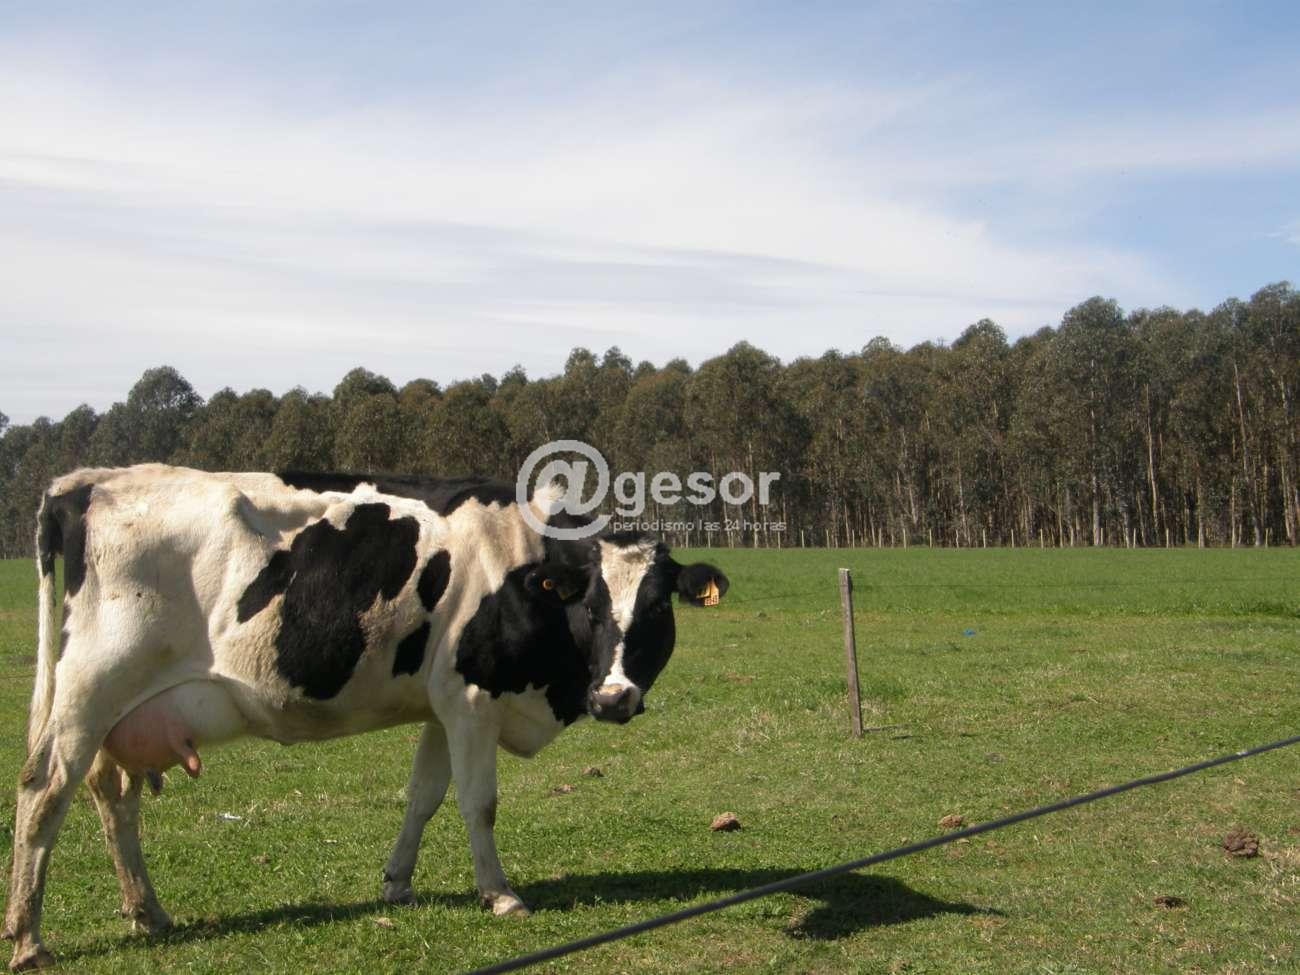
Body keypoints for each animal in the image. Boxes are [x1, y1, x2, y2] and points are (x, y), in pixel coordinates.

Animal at [3, 464, 728, 970]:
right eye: (593, 607)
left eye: (657, 609)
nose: (614, 698)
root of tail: (86, 481)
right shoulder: (473, 700)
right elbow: (478, 803)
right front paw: (499, 893)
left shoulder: (442, 703)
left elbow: (423, 796)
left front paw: (397, 883)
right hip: (89, 693)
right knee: (43, 793)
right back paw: (29, 939)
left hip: (121, 717)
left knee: (112, 797)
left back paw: (147, 911)